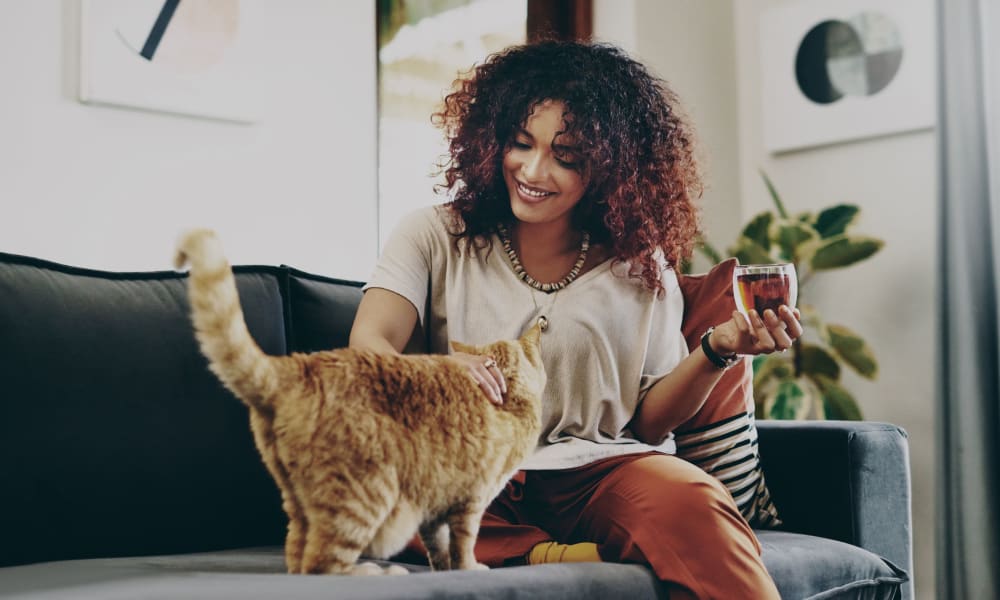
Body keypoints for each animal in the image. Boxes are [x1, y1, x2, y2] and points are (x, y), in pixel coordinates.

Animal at [173, 227, 548, 576]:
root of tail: (298, 365)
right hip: (366, 495)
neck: (508, 400)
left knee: (298, 560)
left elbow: (439, 545)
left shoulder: (435, 503)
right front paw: (468, 569)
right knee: (322, 565)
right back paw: (377, 572)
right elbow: (464, 543)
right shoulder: (470, 499)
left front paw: (445, 569)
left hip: (299, 502)